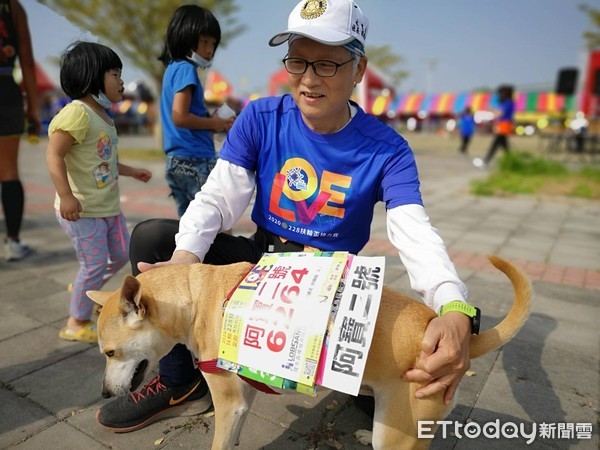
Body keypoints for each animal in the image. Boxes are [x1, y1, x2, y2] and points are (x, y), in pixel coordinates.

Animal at [88, 256, 528, 450]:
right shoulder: (242, 399)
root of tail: (441, 327)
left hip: (399, 432)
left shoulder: (228, 401)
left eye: (109, 352)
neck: (196, 298)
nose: (105, 394)